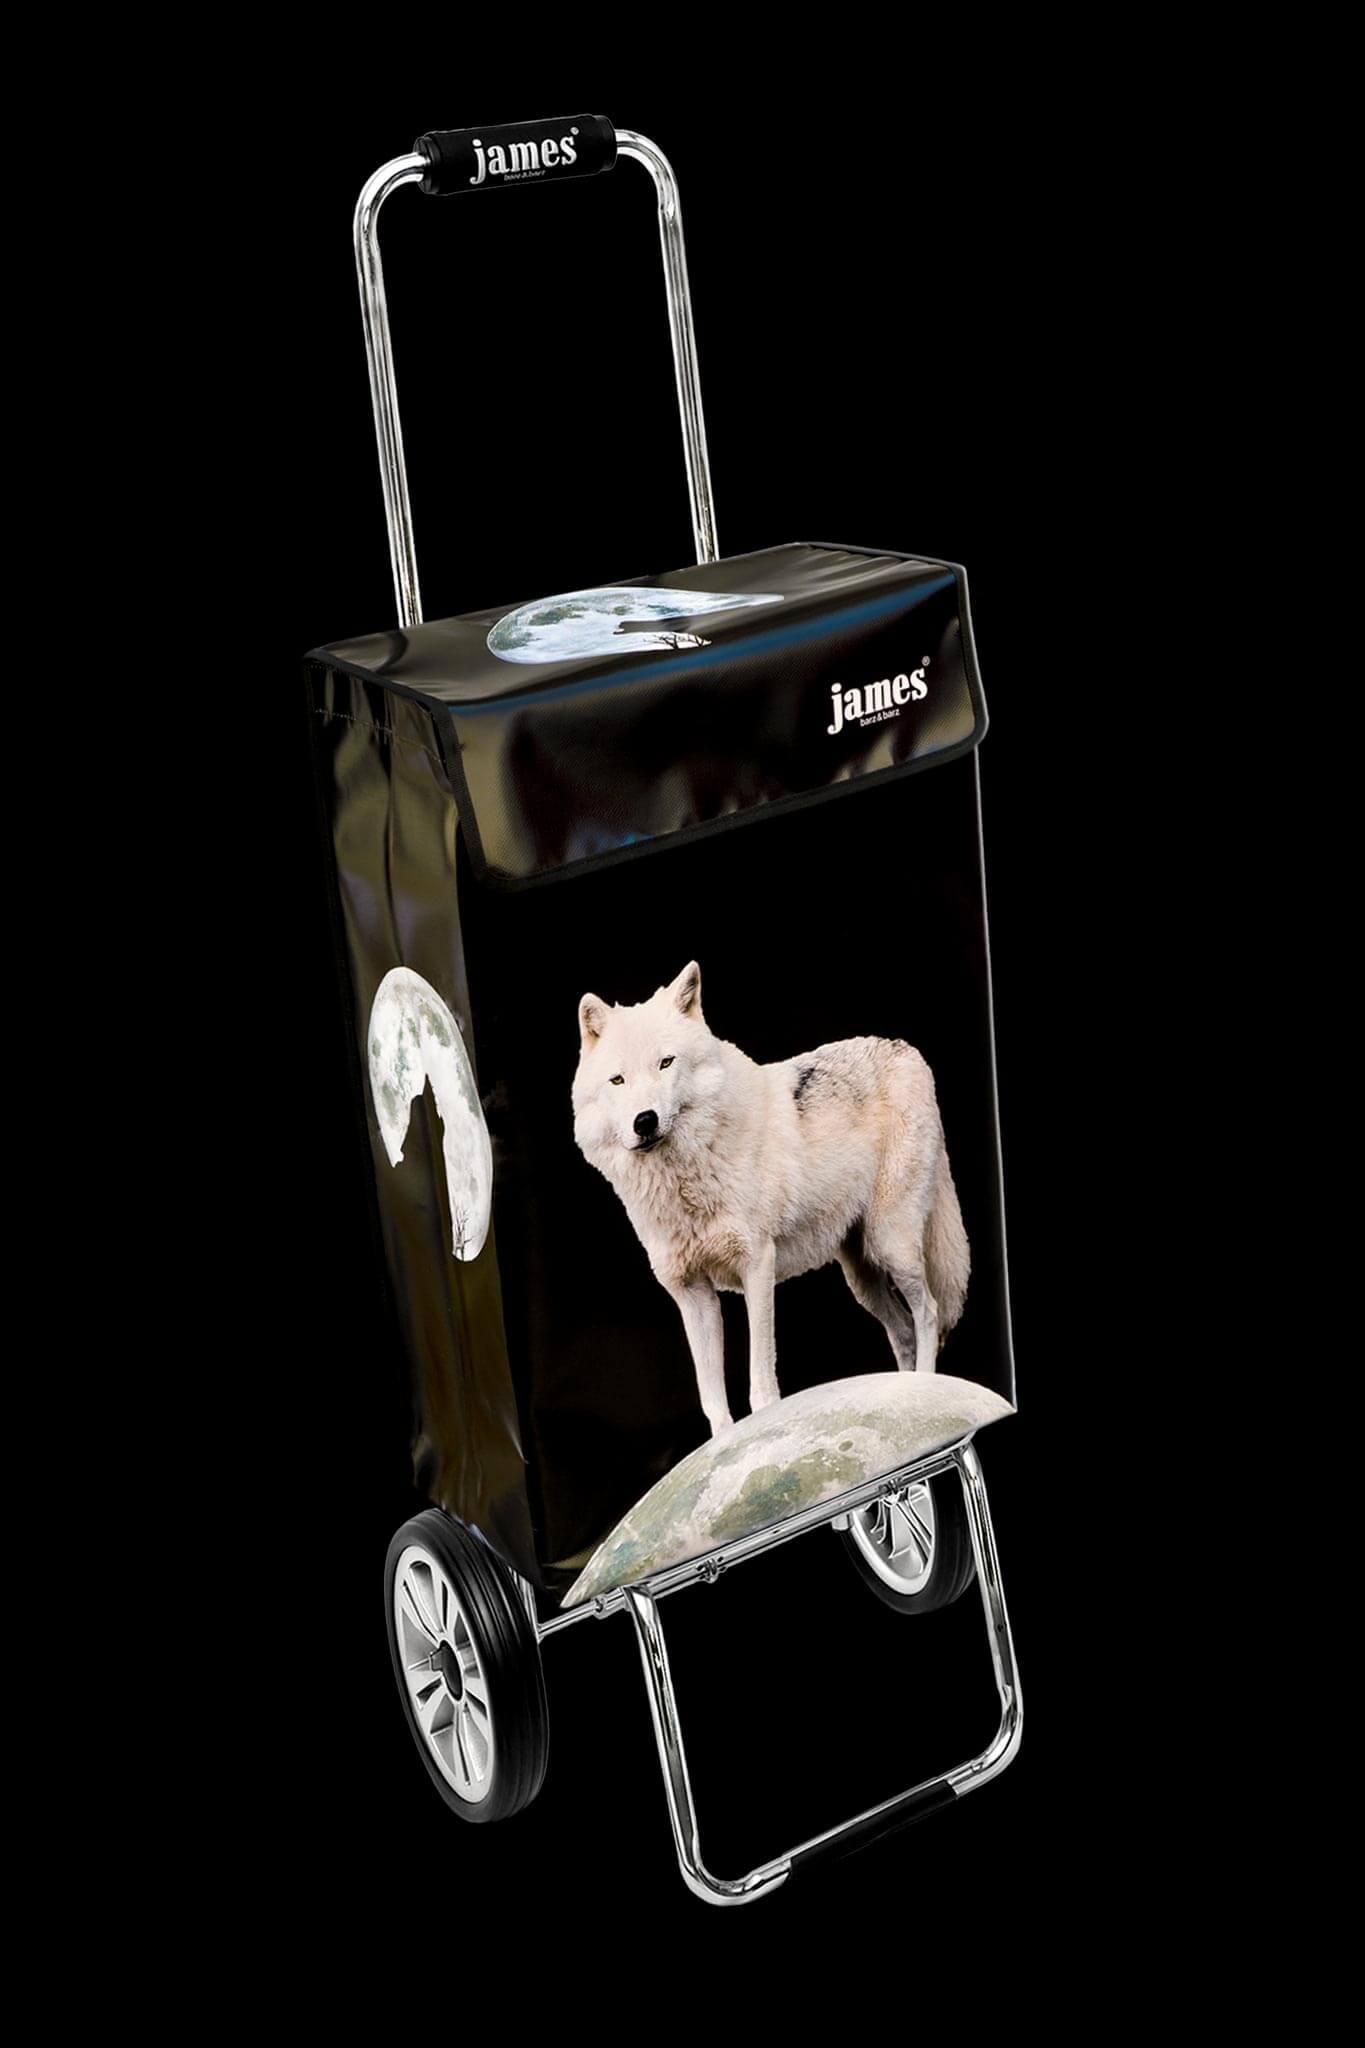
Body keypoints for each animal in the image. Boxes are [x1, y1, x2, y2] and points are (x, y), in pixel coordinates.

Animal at [571, 962, 970, 1436]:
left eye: (666, 1063)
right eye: (618, 1079)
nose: (644, 1121)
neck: (686, 1185)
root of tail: (907, 1051)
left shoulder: (757, 1265)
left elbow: (760, 1383)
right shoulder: (692, 1293)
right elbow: (711, 1397)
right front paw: (726, 1445)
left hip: (892, 1245)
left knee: (927, 1313)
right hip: (861, 1277)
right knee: (904, 1329)